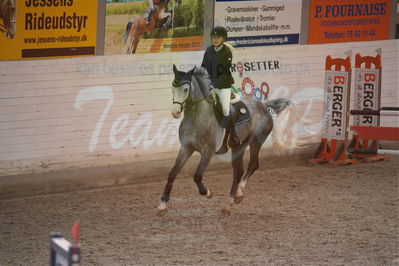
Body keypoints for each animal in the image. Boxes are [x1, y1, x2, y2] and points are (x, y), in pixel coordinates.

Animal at [158, 66, 296, 216]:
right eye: (173, 88)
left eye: (185, 89)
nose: (175, 112)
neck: (197, 117)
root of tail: (264, 106)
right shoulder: (186, 148)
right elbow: (172, 174)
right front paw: (162, 205)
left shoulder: (208, 152)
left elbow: (197, 176)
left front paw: (207, 192)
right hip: (239, 147)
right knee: (239, 171)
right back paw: (235, 197)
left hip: (255, 142)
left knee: (251, 165)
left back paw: (231, 200)